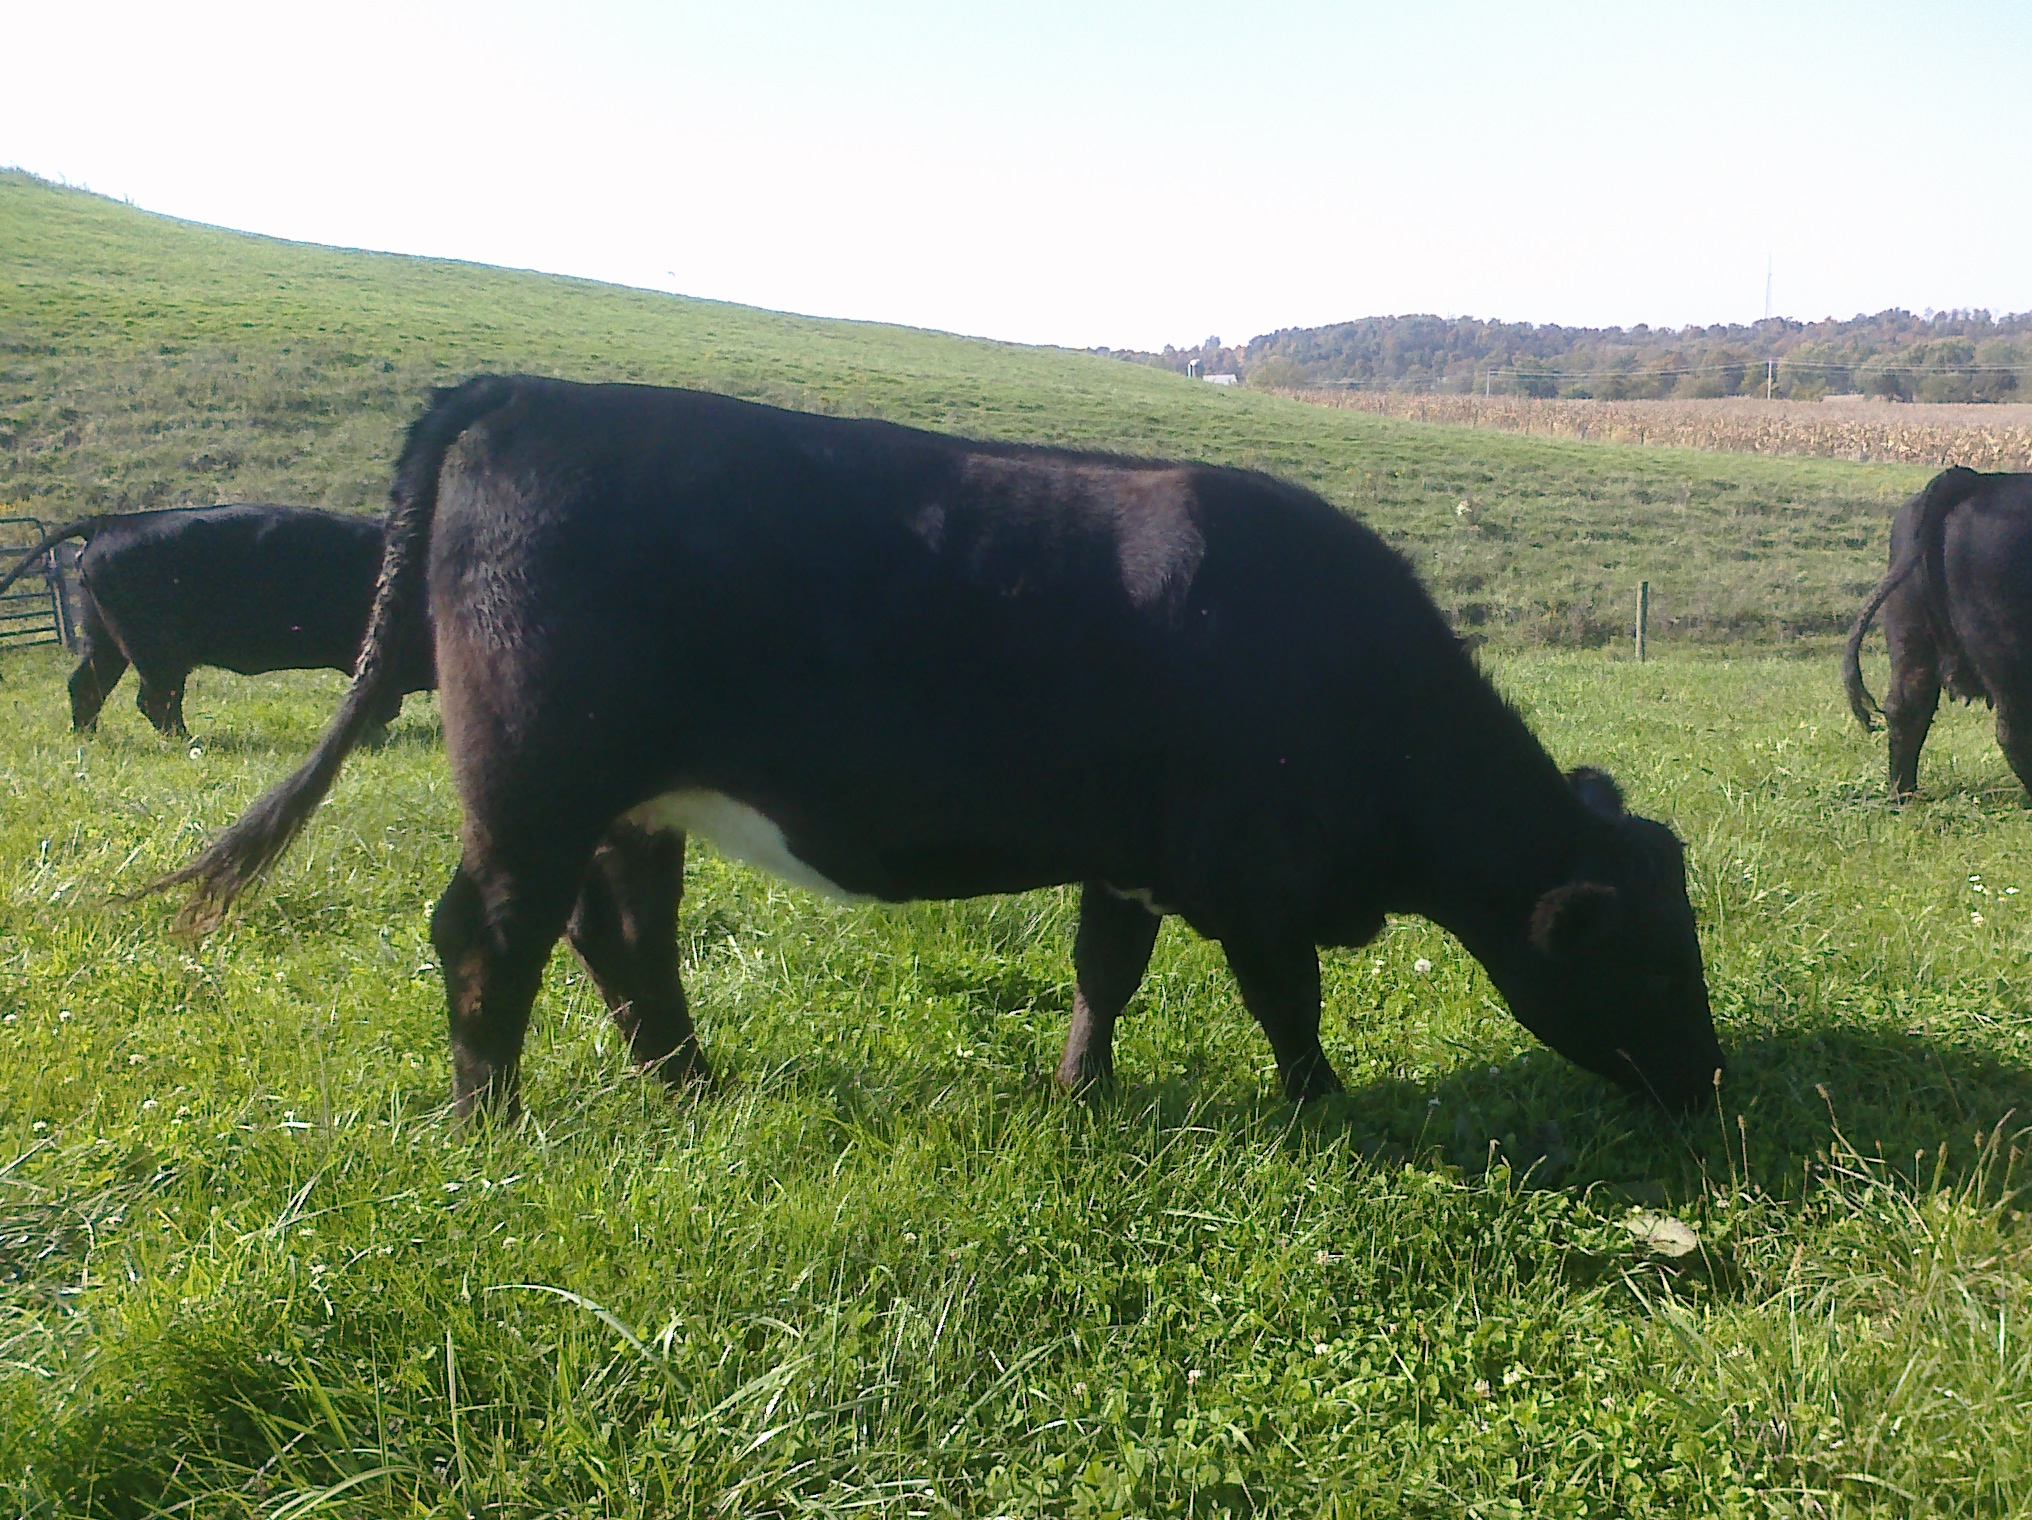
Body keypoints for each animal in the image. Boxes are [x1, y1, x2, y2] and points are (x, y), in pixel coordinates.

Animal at [0, 504, 434, 736]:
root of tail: (109, 521)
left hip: (106, 642)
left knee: (87, 685)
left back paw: (88, 736)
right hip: (157, 653)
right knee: (154, 698)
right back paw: (187, 740)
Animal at [159, 376, 1723, 1118]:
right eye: (1653, 963)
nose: (1710, 1085)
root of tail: (529, 390)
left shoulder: (1131, 857)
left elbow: (1103, 973)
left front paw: (1081, 1092)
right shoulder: (1252, 878)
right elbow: (1287, 1000)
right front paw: (1325, 1105)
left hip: (627, 800)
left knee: (622, 932)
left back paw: (691, 1086)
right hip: (533, 789)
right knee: (489, 935)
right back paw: (492, 1124)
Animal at [1843, 467, 2032, 798]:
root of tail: (1975, 480)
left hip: (1910, 634)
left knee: (1906, 708)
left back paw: (1903, 794)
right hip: (2006, 650)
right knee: (2014, 729)